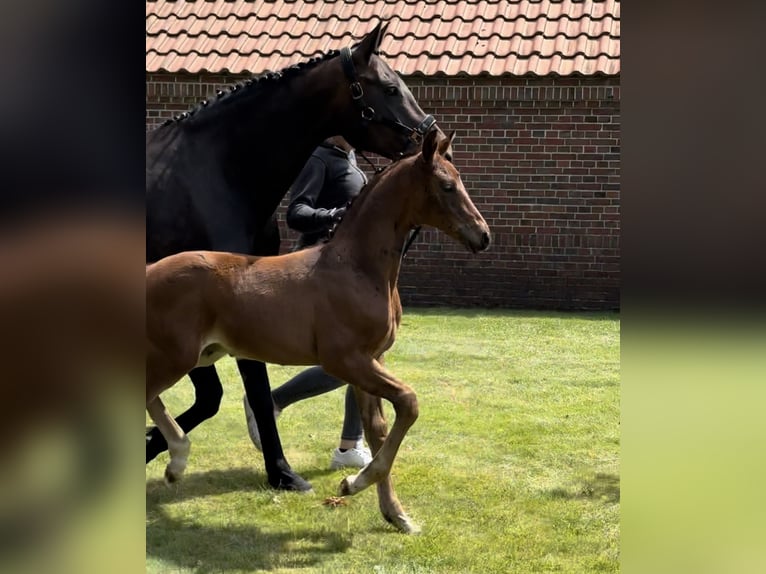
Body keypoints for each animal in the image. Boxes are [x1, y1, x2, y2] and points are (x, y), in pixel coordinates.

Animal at [144, 21, 450, 490]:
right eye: (390, 88)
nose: (436, 141)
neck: (215, 173)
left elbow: (225, 393)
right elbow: (228, 391)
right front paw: (282, 471)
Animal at [146, 130, 492, 536]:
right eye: (447, 185)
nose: (483, 235)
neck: (357, 269)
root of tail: (148, 272)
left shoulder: (371, 360)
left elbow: (378, 429)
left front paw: (395, 514)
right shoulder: (345, 360)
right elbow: (408, 402)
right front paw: (354, 482)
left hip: (198, 355)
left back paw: (174, 461)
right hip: (174, 356)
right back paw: (176, 459)